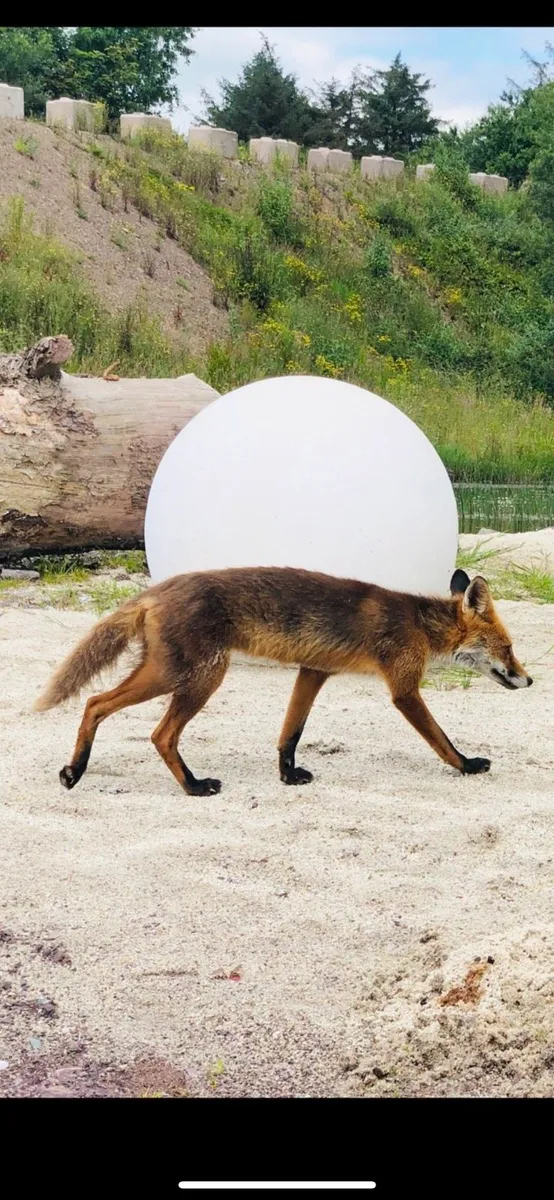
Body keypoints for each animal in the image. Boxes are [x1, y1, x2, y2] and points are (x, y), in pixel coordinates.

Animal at [33, 564, 532, 796]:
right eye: (509, 648)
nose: (528, 680)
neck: (419, 625)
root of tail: (156, 590)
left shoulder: (314, 671)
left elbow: (290, 732)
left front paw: (287, 774)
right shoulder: (404, 688)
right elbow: (442, 739)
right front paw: (467, 765)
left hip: (172, 673)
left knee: (95, 703)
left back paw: (75, 771)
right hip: (196, 676)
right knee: (153, 730)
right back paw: (193, 786)